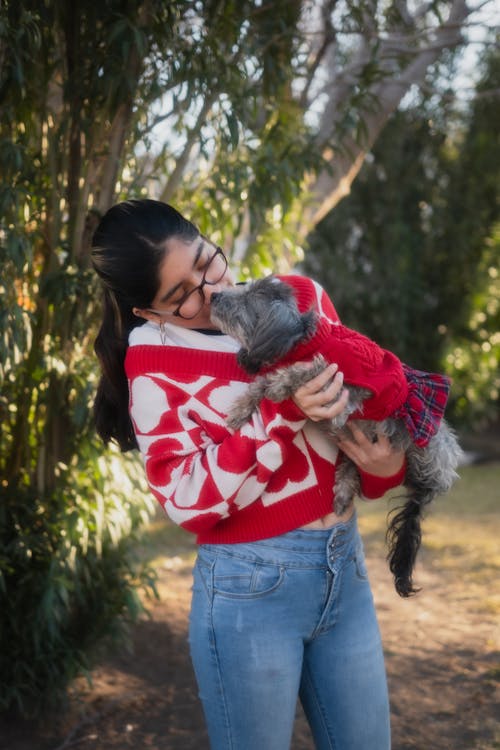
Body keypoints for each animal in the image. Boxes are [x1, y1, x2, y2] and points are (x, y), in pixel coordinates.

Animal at [209, 276, 462, 600]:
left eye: (246, 299)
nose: (214, 296)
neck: (305, 340)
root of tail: (428, 489)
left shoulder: (349, 389)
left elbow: (303, 370)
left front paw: (281, 385)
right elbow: (262, 383)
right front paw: (241, 410)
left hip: (425, 441)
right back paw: (341, 492)